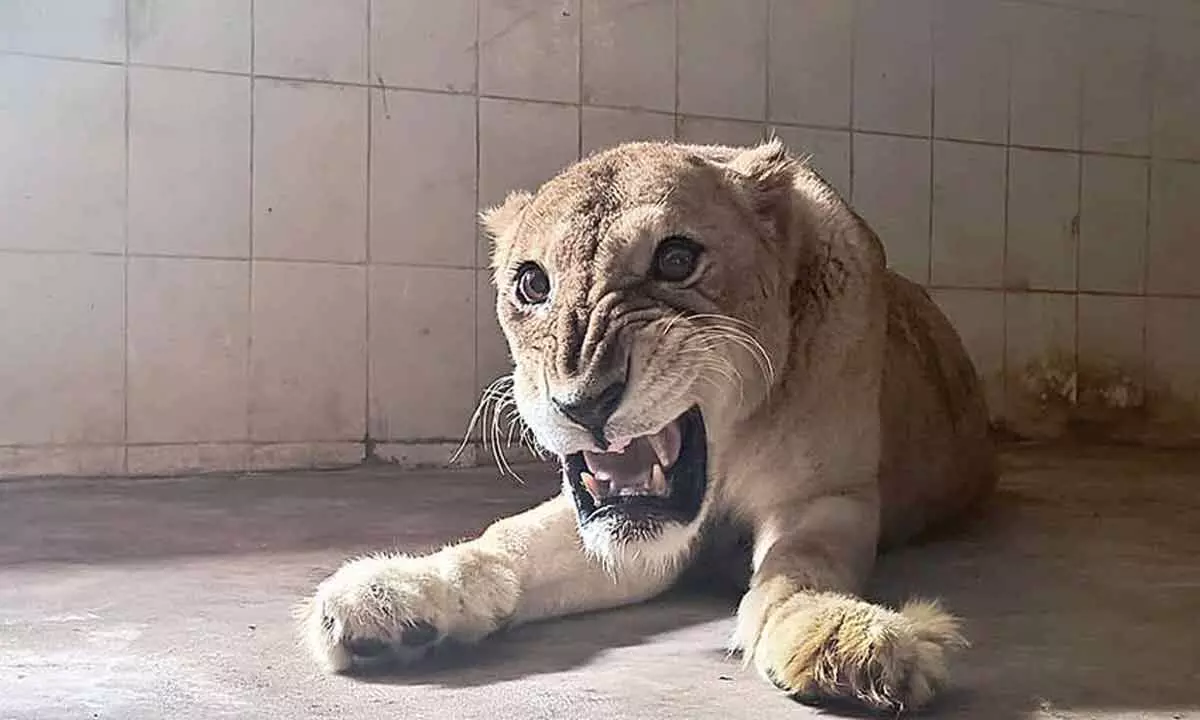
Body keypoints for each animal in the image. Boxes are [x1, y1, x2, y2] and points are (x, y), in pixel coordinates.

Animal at [300, 139, 996, 712]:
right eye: (531, 283)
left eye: (677, 259)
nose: (581, 402)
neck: (728, 446)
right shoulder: (625, 537)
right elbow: (509, 541)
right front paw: (395, 595)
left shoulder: (829, 495)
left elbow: (802, 562)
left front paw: (844, 638)